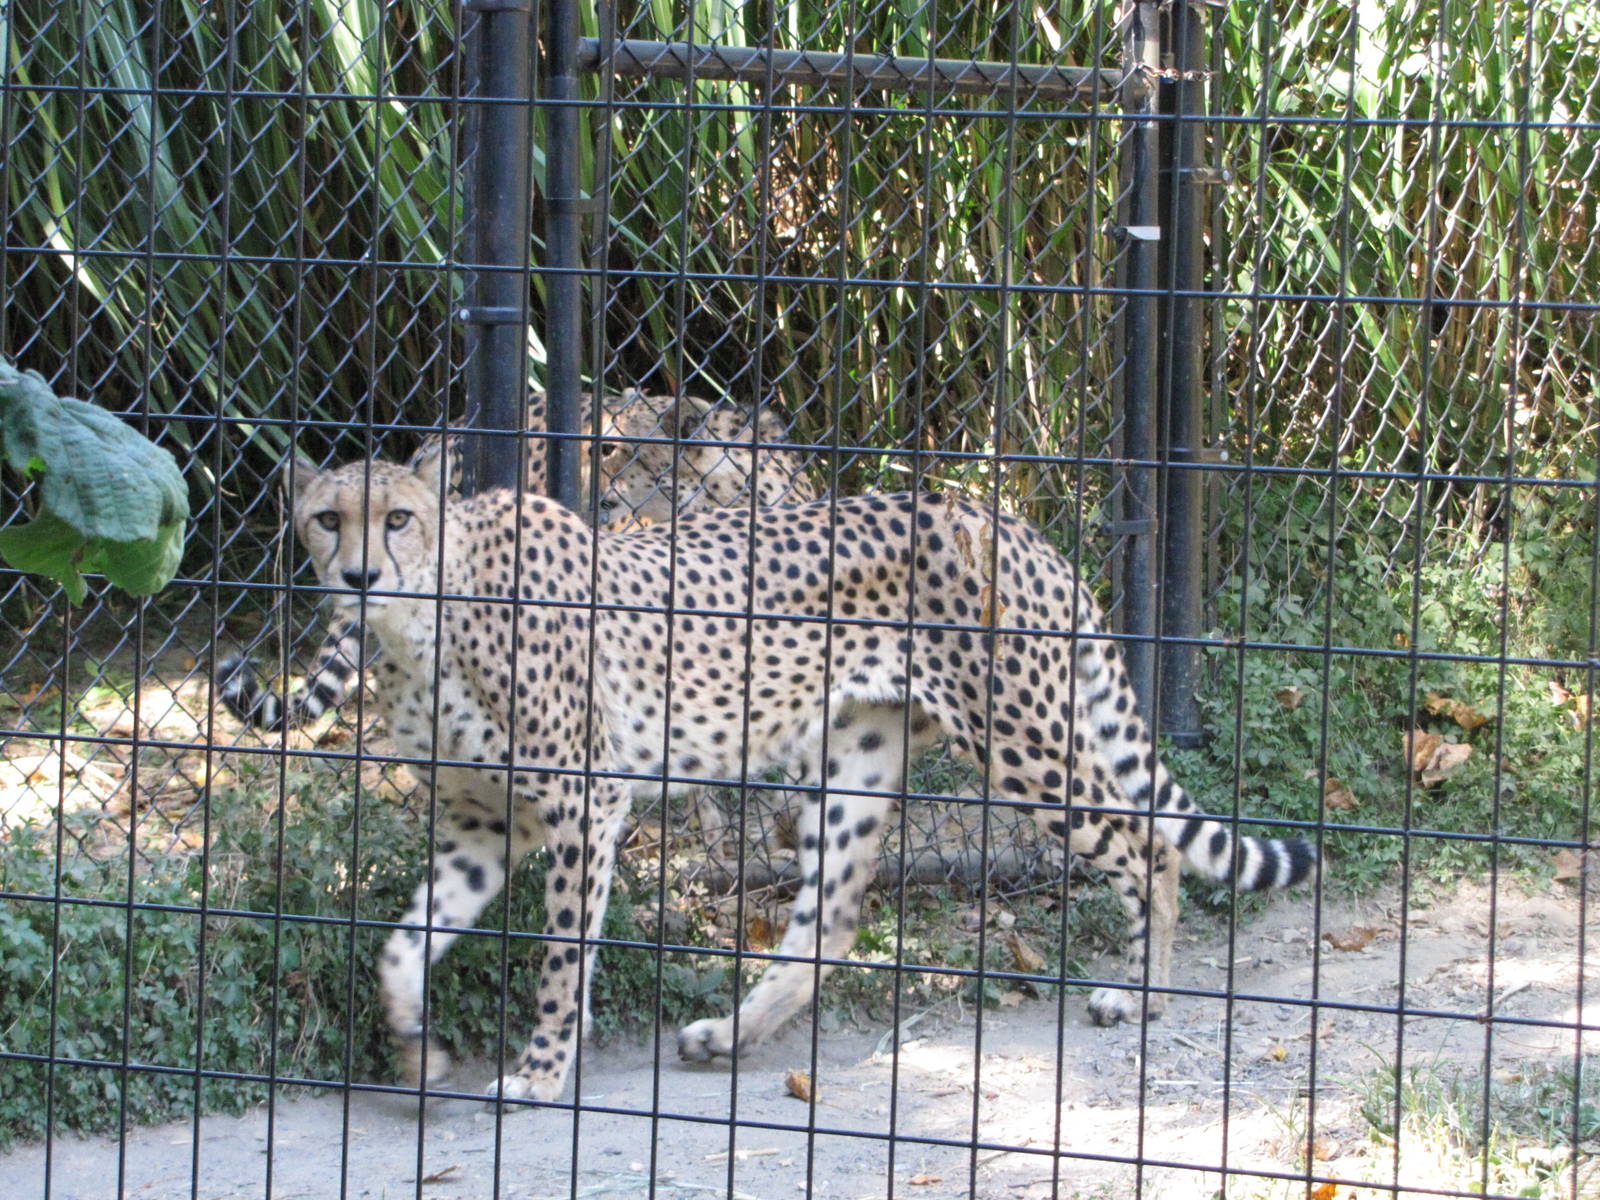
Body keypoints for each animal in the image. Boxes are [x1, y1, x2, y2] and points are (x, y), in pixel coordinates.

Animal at [284, 447, 1316, 1104]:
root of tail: (1001, 514)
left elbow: (561, 960)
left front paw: (539, 1073)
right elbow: (398, 947)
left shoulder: (585, 806)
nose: (361, 576)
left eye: (399, 518)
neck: (424, 623)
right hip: (854, 757)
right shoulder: (484, 827)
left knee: (1150, 852)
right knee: (831, 921)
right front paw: (416, 1052)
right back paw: (728, 1035)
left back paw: (1141, 993)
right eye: (328, 519)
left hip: (1022, 743)